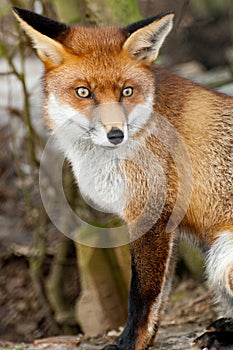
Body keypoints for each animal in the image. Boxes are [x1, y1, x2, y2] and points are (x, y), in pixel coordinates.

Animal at [14, 6, 233, 350]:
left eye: (126, 91)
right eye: (84, 92)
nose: (116, 134)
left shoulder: (151, 211)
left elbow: (141, 296)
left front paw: (129, 343)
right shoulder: (166, 224)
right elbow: (160, 298)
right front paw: (146, 341)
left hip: (224, 258)